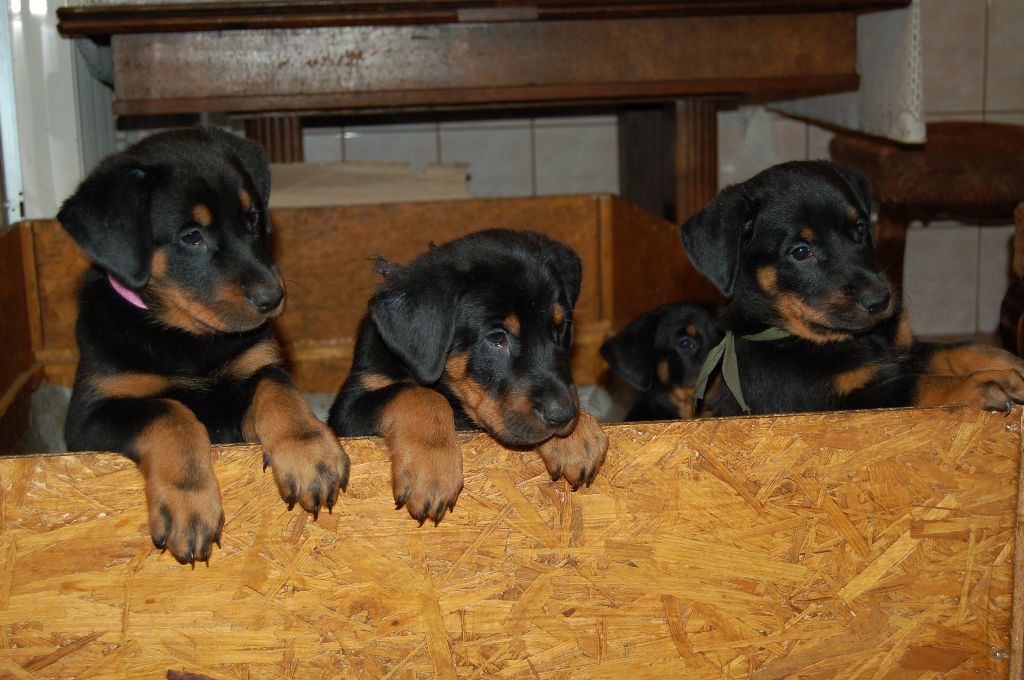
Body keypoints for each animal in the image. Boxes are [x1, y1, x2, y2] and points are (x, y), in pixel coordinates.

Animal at [58, 127, 350, 565]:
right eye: (191, 237)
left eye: (252, 218)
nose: (273, 297)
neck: (187, 338)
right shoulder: (90, 416)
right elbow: (170, 412)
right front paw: (189, 503)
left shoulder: (254, 367)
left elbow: (277, 387)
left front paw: (309, 450)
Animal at [327, 229, 608, 525]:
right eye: (497, 337)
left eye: (561, 327)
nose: (562, 415)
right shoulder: (348, 410)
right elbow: (421, 394)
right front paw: (432, 469)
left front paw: (580, 436)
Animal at [680, 160, 1024, 417]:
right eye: (801, 251)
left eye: (860, 228)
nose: (881, 300)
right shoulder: (831, 403)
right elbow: (920, 385)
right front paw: (980, 385)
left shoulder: (903, 350)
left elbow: (958, 348)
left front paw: (1011, 364)